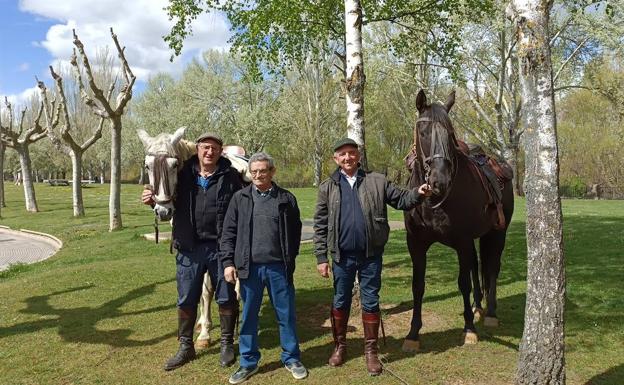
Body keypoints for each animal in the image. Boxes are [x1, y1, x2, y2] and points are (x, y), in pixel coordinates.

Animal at [136, 126, 246, 348]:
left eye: (174, 164)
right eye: (147, 166)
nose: (163, 211)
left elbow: (211, 288)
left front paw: (206, 333)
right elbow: (202, 291)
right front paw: (203, 328)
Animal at [402, 90, 516, 352]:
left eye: (450, 134)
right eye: (423, 131)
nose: (439, 180)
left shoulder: (462, 242)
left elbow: (463, 282)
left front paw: (469, 330)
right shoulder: (416, 244)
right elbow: (418, 286)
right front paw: (413, 334)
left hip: (497, 233)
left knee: (492, 268)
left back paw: (490, 313)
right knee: (476, 265)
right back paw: (477, 307)